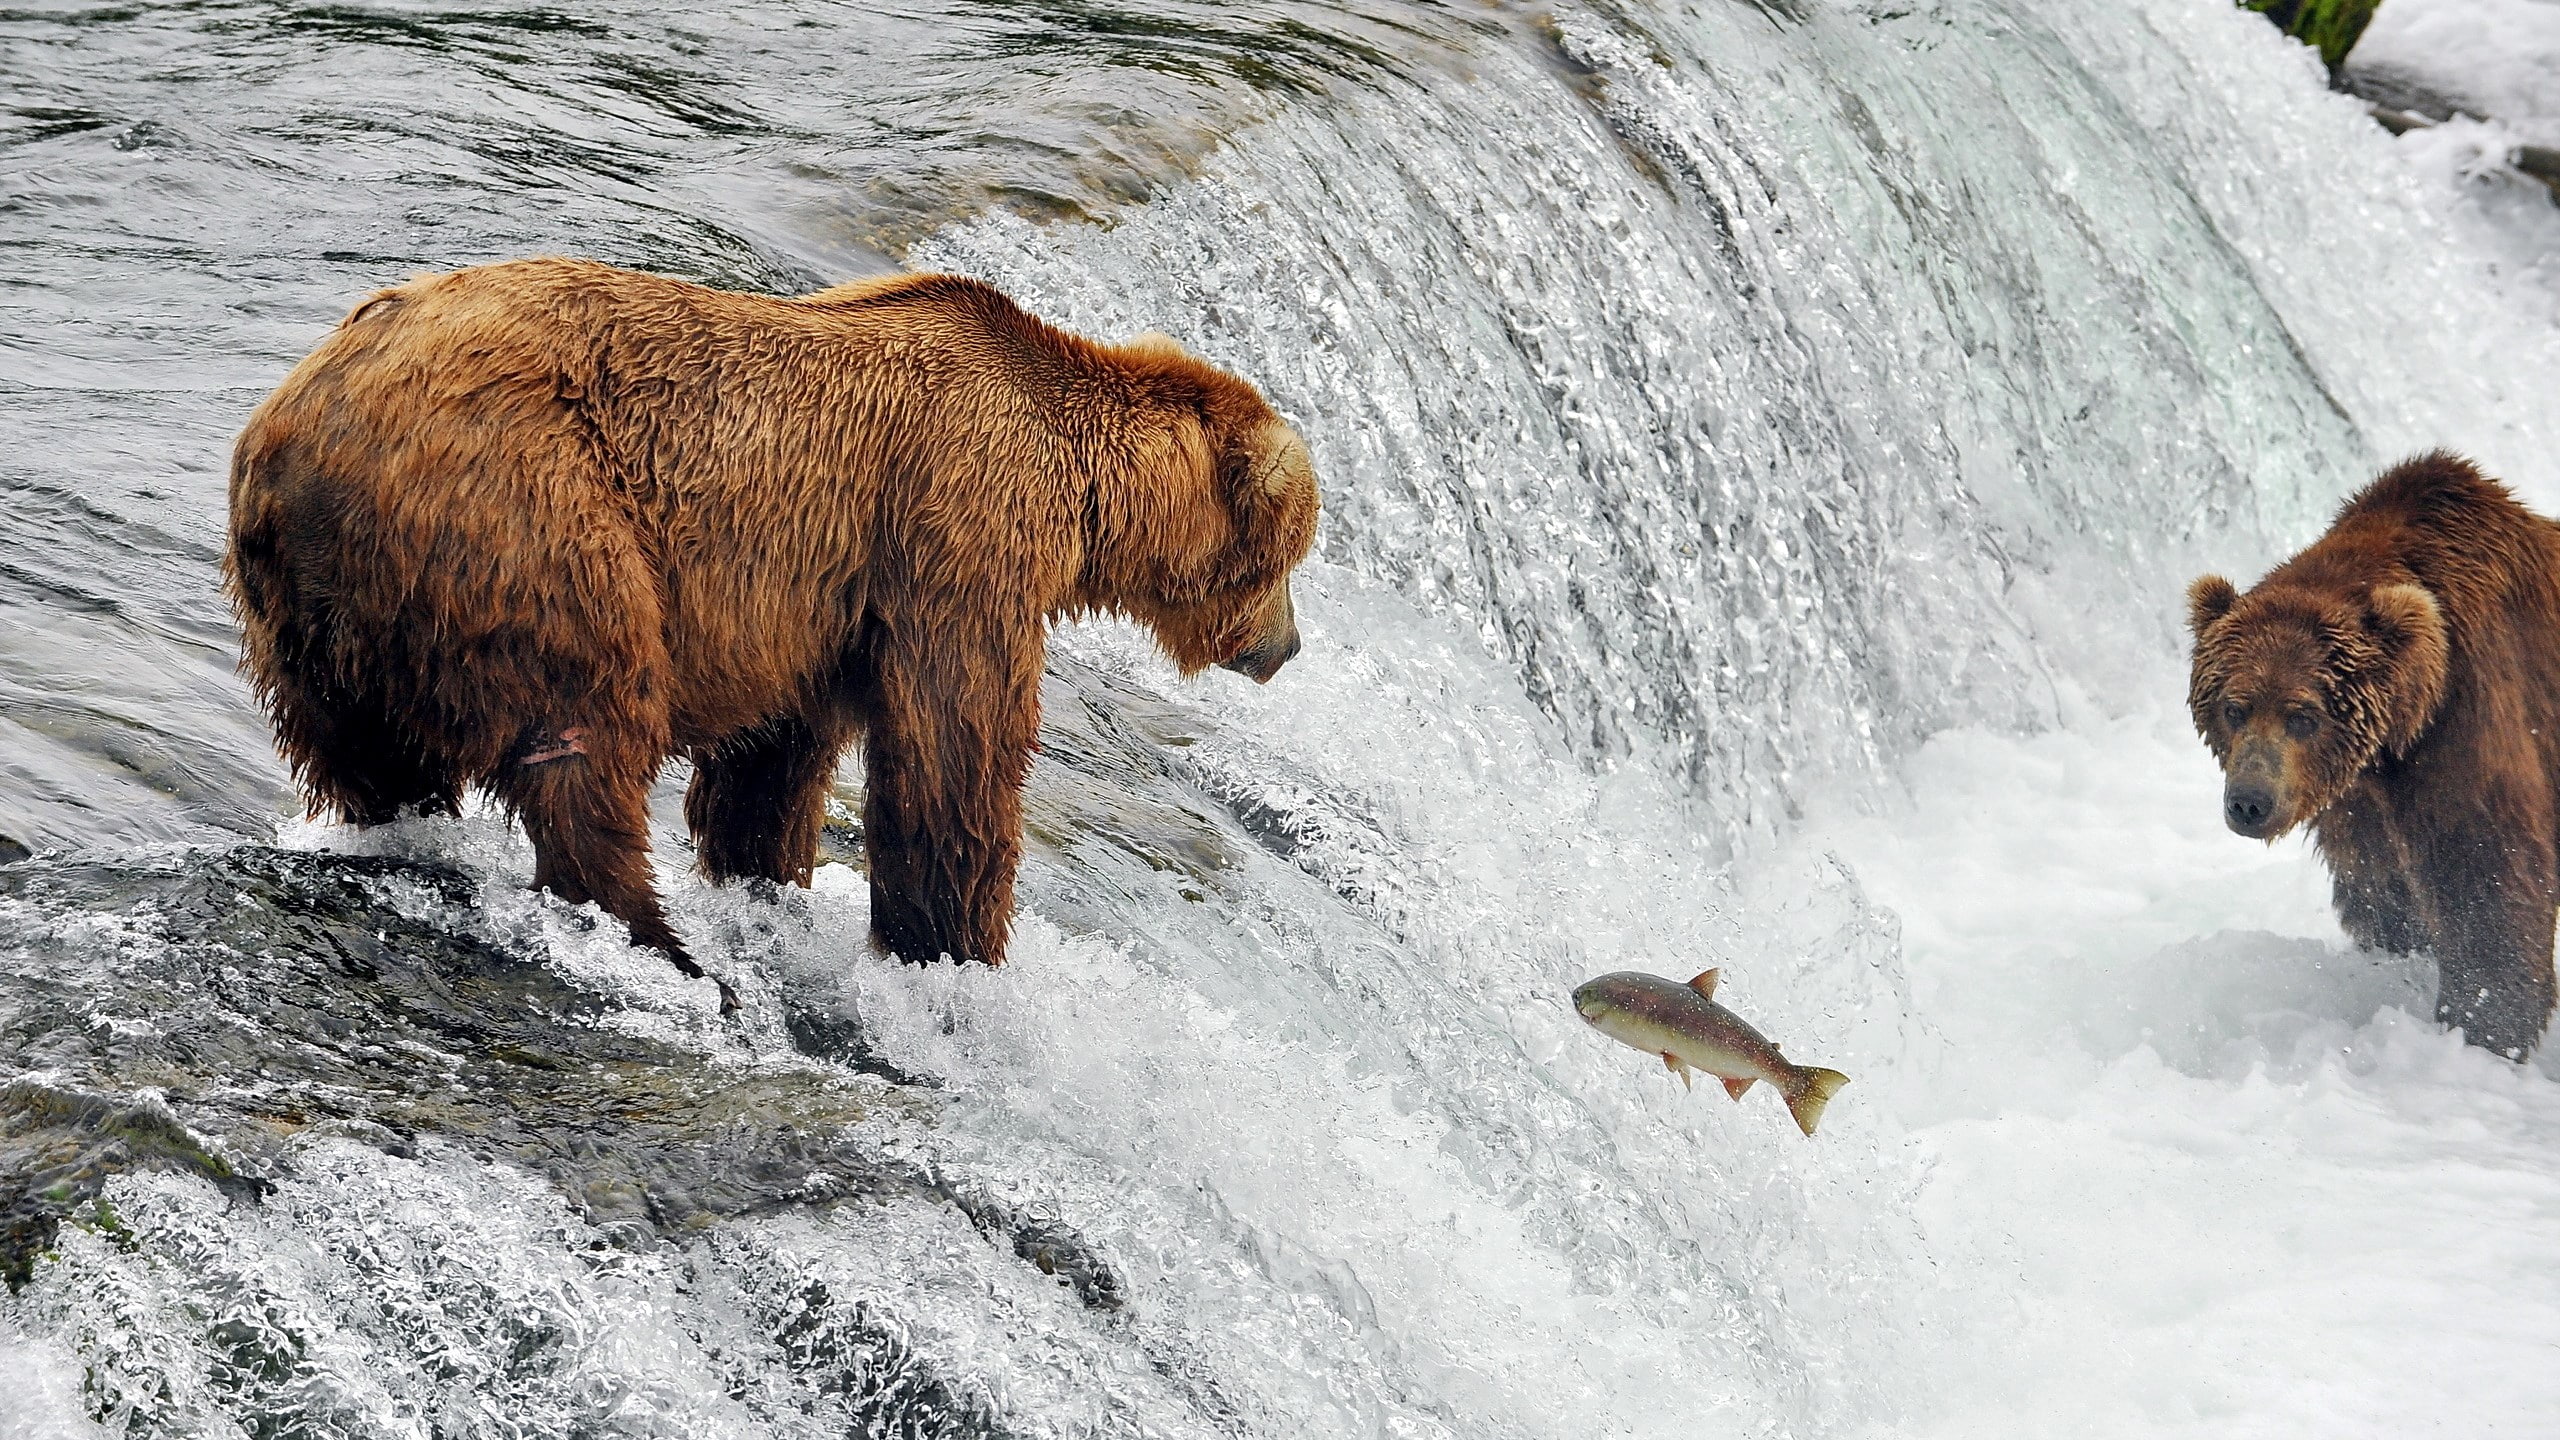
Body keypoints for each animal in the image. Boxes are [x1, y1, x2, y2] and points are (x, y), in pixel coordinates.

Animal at [225, 259, 1319, 1008]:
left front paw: (768, 879)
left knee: (366, 756)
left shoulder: (825, 609)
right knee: (586, 733)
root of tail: (287, 429)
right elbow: (952, 756)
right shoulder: (956, 533)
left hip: (323, 616)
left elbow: (773, 764)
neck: (1081, 492)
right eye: (1291, 555)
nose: (1288, 646)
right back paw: (664, 947)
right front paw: (952, 946)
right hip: (524, 509)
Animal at [2186, 451, 2560, 1058]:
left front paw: (2482, 1023)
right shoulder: (2355, 796)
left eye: (2303, 716)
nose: (2249, 802)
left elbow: (2489, 876)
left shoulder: (2471, 719)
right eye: (2234, 707)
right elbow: (2382, 886)